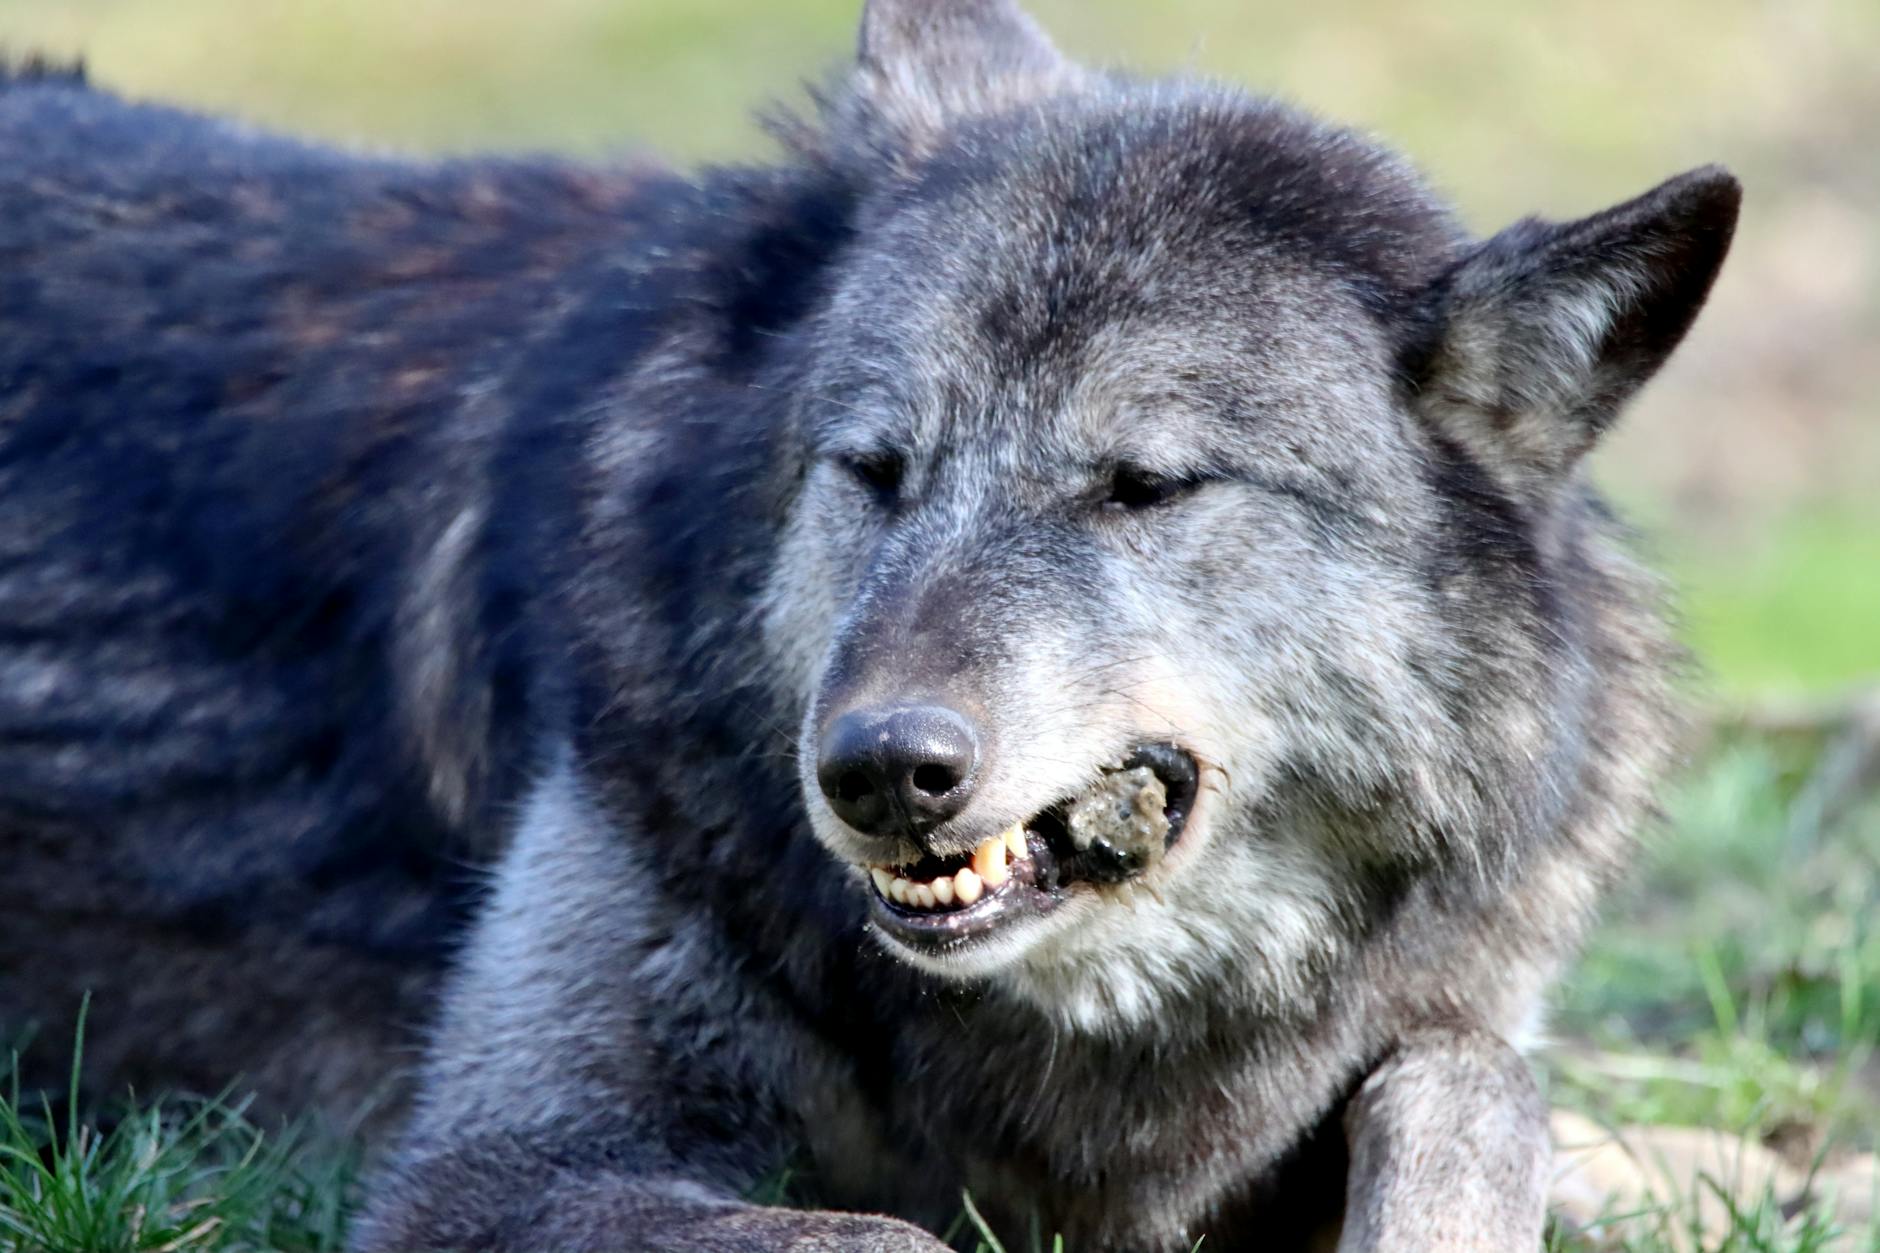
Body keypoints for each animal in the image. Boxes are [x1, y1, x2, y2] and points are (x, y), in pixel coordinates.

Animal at [0, 0, 1739, 1248]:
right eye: (877, 468)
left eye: (1143, 485)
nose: (880, 768)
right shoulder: (490, 1170)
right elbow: (871, 1236)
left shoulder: (1440, 1025)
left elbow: (1481, 1093)